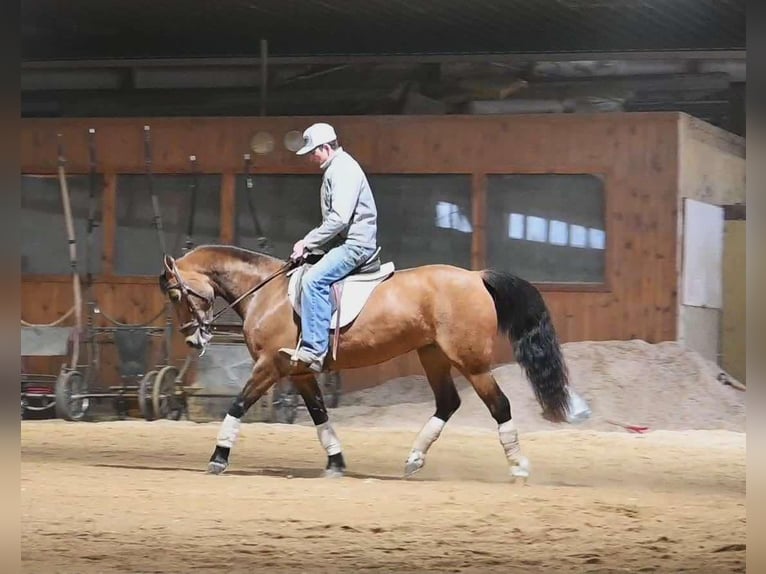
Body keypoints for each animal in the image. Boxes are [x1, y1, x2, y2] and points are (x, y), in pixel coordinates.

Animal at [159, 245, 592, 484]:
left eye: (177, 294)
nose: (192, 339)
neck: (269, 293)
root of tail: (475, 276)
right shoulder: (299, 372)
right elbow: (319, 416)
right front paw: (336, 463)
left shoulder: (270, 366)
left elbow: (237, 405)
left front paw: (218, 458)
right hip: (432, 355)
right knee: (448, 403)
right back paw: (414, 459)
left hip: (471, 363)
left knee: (499, 406)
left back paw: (518, 467)